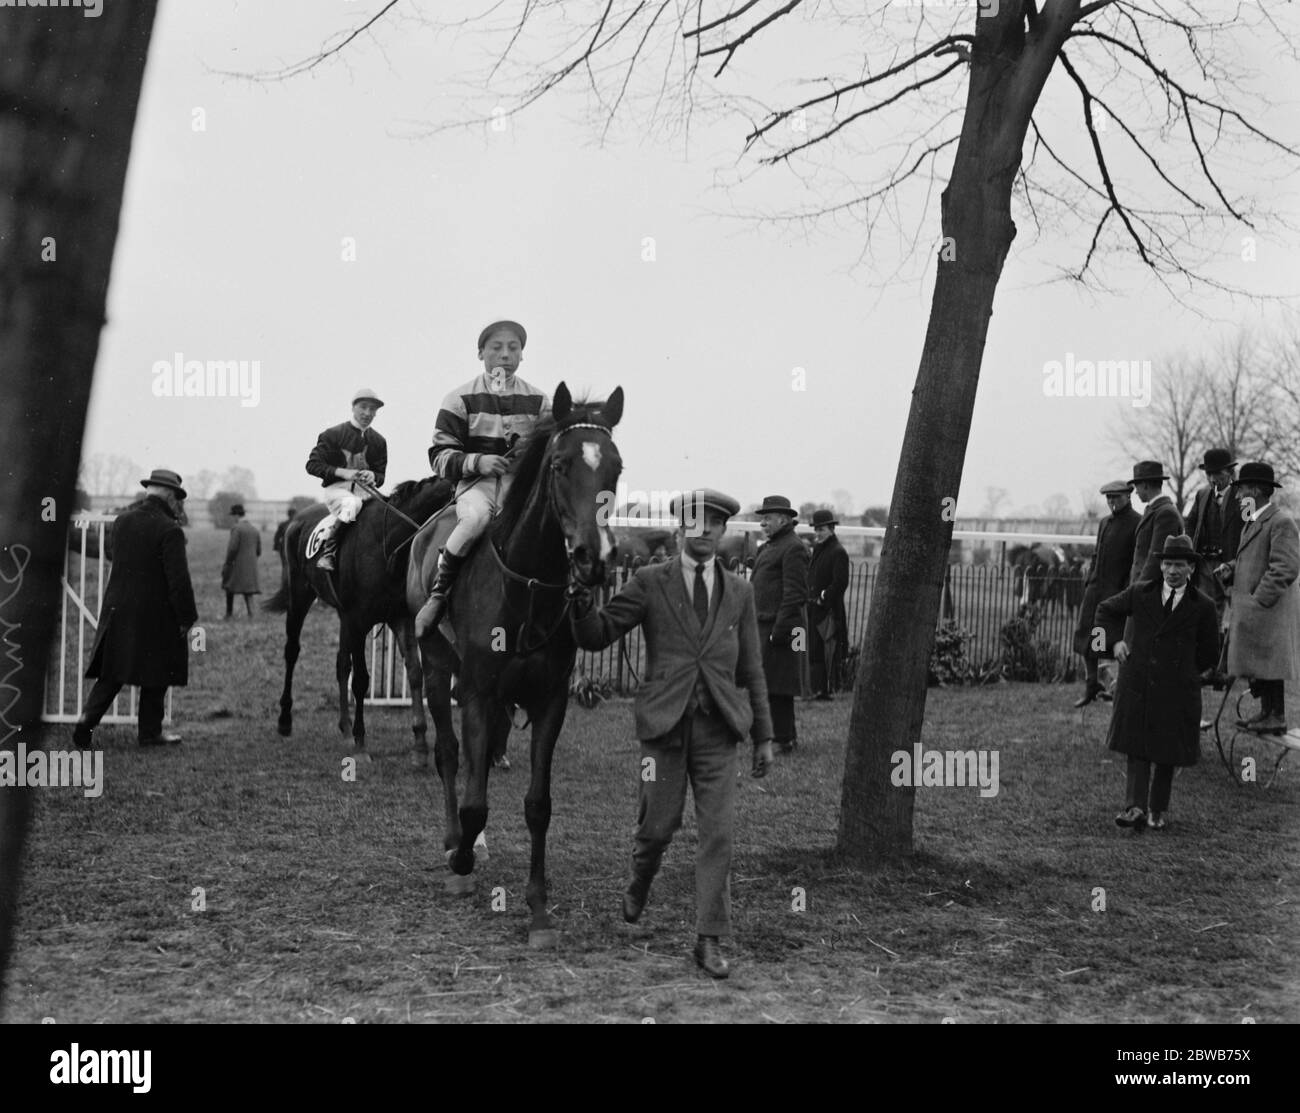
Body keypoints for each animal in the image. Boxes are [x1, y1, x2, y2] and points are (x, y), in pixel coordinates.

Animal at [263, 478, 452, 754]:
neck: (387, 545)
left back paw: (344, 726)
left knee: (341, 663)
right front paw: (361, 739)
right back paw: (285, 720)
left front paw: (420, 740)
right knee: (292, 652)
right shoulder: (359, 620)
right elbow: (361, 679)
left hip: (342, 616)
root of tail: (295, 521)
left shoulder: (399, 617)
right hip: (300, 596)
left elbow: (415, 673)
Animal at [408, 382, 626, 946]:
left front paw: (539, 909)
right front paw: (461, 860)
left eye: (615, 467)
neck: (526, 588)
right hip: (437, 668)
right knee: (448, 753)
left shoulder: (549, 700)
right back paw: (456, 841)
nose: (594, 558)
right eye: (562, 465)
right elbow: (473, 798)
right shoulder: (478, 691)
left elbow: (537, 804)